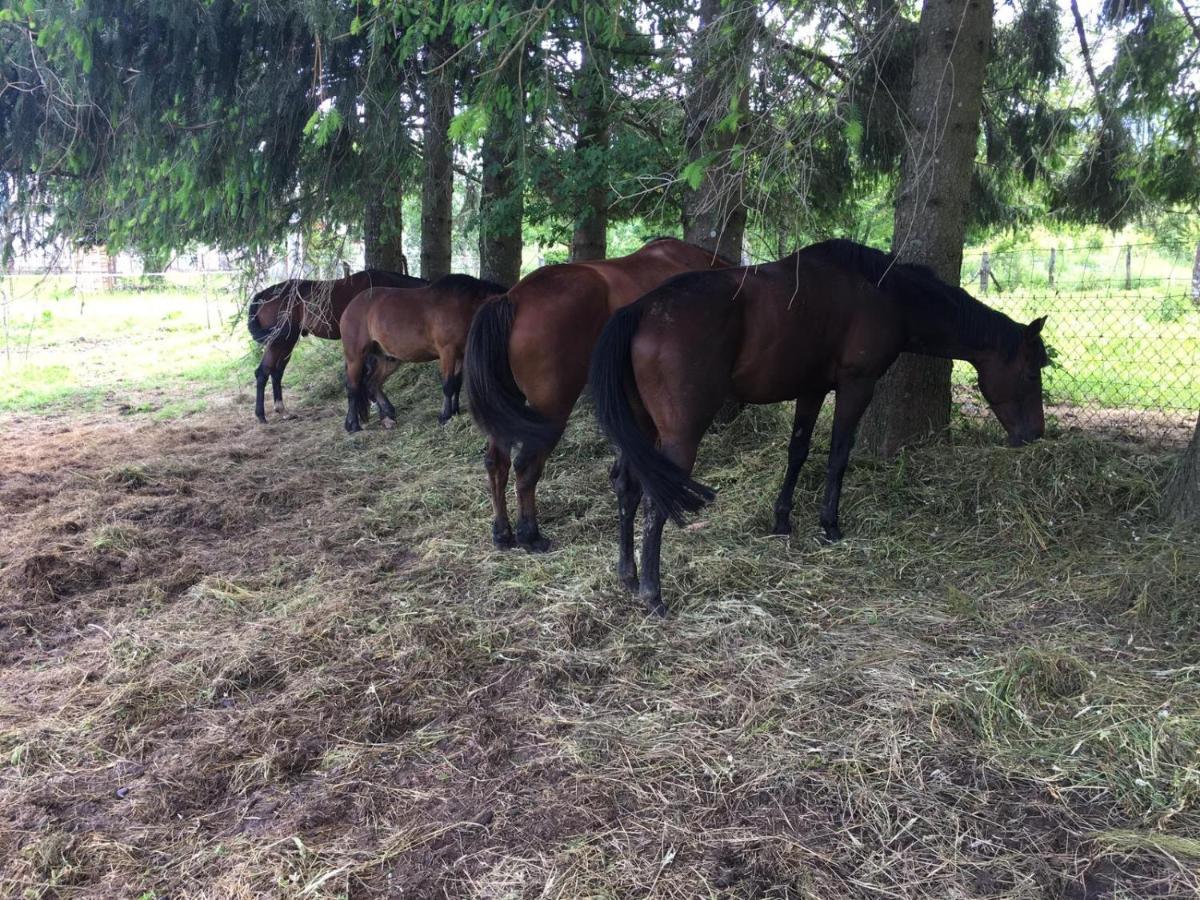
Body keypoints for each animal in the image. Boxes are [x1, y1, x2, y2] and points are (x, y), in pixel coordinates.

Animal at [247, 267, 427, 422]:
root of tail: (263, 295)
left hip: (286, 342)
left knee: (276, 372)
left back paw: (283, 410)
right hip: (279, 341)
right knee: (262, 372)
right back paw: (261, 415)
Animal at [340, 273, 508, 432]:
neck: (463, 306)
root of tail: (350, 306)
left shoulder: (460, 354)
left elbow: (457, 383)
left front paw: (455, 411)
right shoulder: (447, 351)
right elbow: (448, 385)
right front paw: (445, 416)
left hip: (388, 359)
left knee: (373, 383)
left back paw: (388, 415)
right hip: (355, 357)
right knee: (353, 387)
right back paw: (353, 425)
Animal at [465, 236, 729, 554]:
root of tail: (514, 298)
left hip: (508, 409)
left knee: (497, 463)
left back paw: (502, 532)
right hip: (551, 410)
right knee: (525, 467)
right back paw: (530, 535)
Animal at [590, 240, 1051, 619]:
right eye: (1031, 374)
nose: (1035, 435)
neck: (884, 292)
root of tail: (642, 310)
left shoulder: (811, 390)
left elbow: (798, 451)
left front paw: (782, 520)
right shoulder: (856, 385)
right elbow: (838, 454)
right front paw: (830, 525)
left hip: (642, 431)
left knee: (626, 485)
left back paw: (628, 575)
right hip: (679, 436)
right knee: (655, 499)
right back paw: (653, 595)